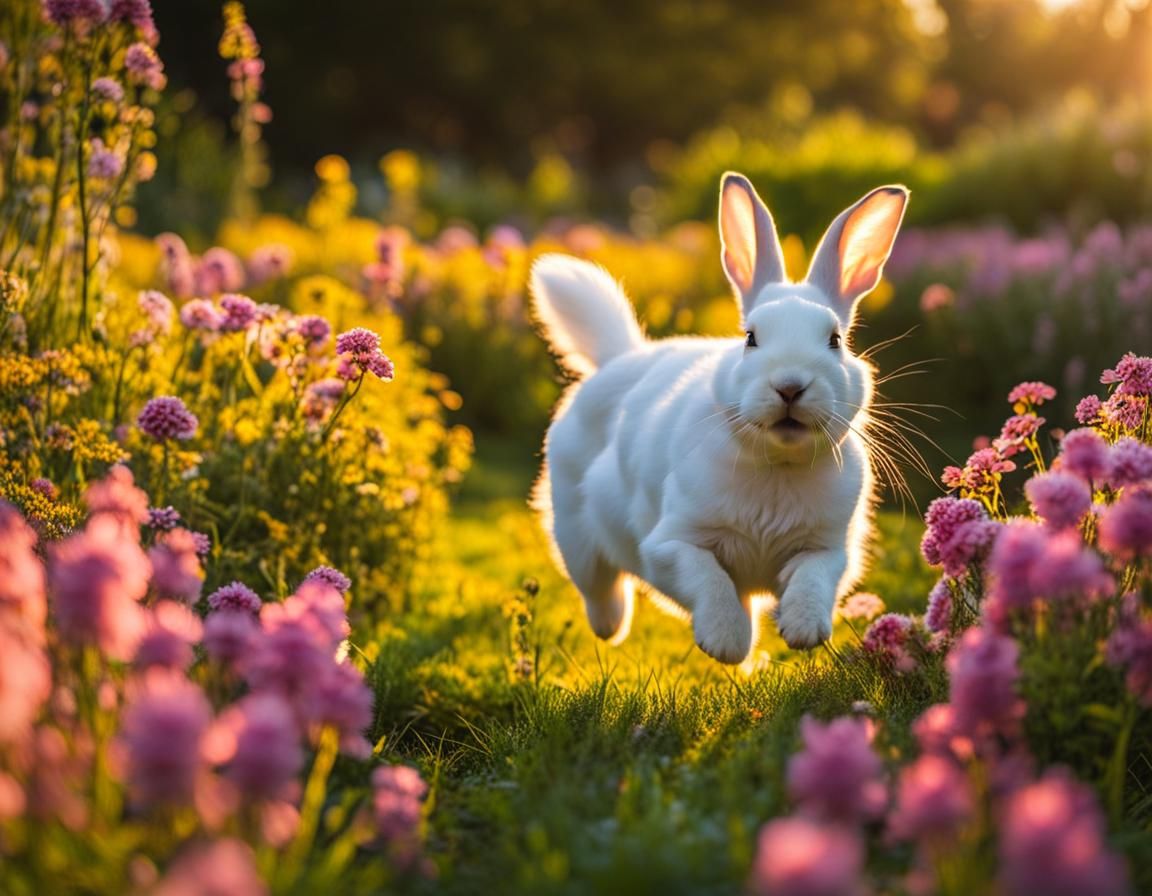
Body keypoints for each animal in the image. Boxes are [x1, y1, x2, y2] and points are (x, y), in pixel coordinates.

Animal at [530, 173, 908, 664]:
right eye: (750, 338)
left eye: (835, 340)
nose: (790, 386)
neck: (777, 466)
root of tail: (618, 356)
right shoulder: (671, 544)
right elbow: (708, 579)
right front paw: (726, 642)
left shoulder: (829, 548)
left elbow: (812, 580)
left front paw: (802, 630)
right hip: (575, 530)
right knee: (598, 587)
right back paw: (610, 628)